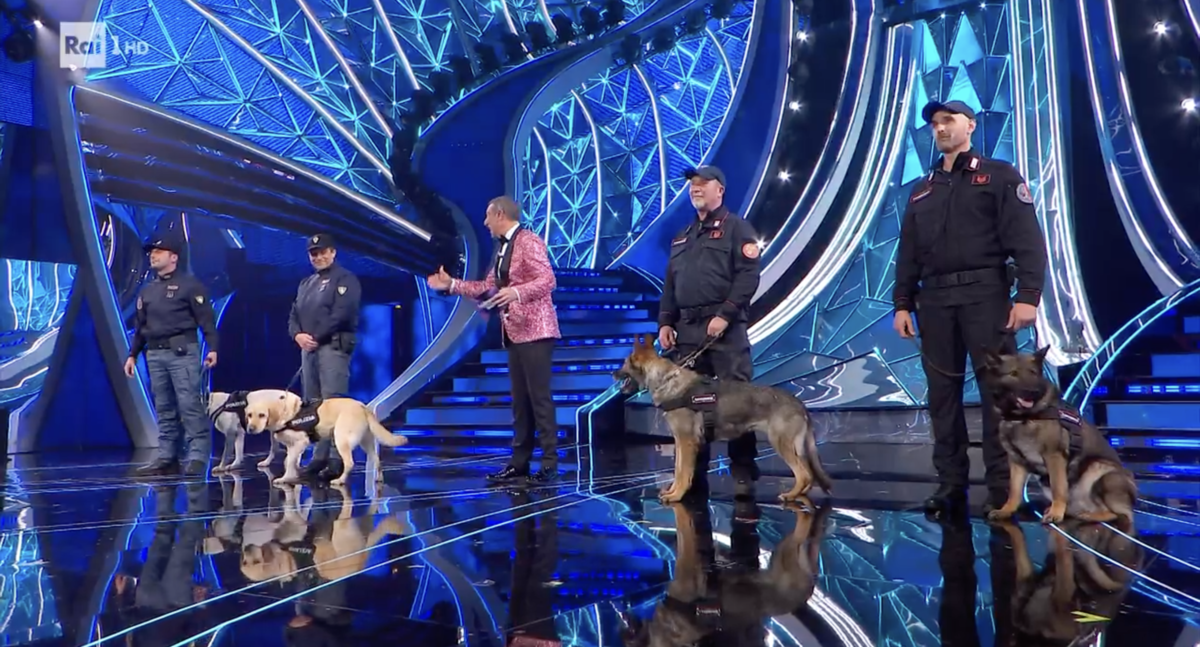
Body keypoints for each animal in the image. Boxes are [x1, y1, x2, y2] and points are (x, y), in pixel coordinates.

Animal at [243, 393, 408, 487]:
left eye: (262, 415)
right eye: (249, 415)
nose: (250, 429)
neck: (283, 413)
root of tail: (362, 406)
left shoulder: (300, 443)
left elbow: (289, 462)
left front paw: (285, 478)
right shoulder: (292, 447)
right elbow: (288, 461)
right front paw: (293, 474)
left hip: (341, 439)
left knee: (349, 463)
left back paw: (340, 480)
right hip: (366, 442)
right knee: (377, 460)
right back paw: (379, 479)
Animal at [614, 335, 832, 504]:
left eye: (624, 362)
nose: (612, 372)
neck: (665, 380)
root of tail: (799, 403)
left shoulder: (686, 441)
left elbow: (683, 472)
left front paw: (676, 496)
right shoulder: (680, 441)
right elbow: (678, 469)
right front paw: (673, 491)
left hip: (781, 444)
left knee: (804, 474)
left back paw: (791, 495)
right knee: (809, 475)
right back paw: (800, 494)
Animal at [982, 346, 1137, 527]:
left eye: (1033, 372)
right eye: (1013, 373)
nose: (1032, 391)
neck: (1022, 417)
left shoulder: (1054, 456)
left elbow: (1058, 487)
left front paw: (1056, 513)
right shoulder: (1016, 461)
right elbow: (1014, 491)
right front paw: (1006, 510)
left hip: (1100, 469)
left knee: (1119, 514)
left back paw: (1089, 516)